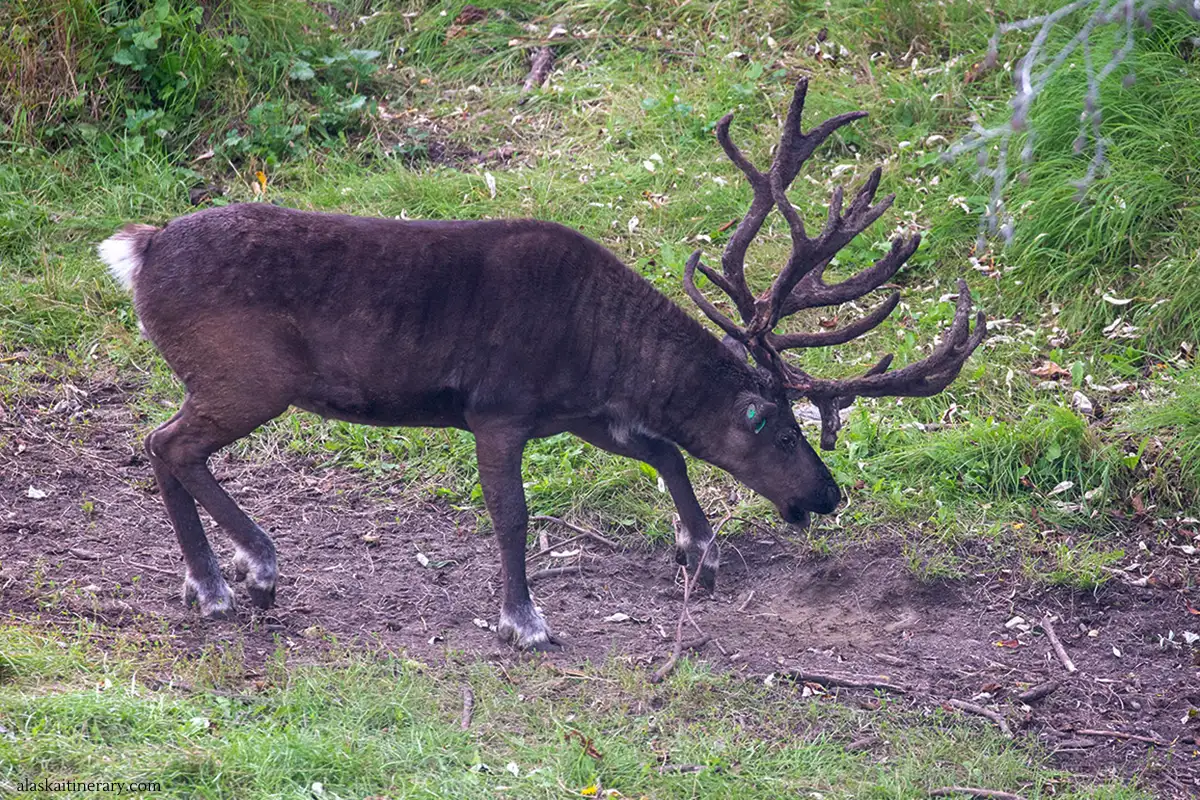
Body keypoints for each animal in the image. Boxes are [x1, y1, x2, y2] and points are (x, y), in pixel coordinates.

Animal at [98, 80, 985, 651]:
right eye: (785, 432)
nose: (830, 495)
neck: (600, 346)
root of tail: (140, 248)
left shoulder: (580, 413)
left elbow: (665, 449)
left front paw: (698, 549)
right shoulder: (499, 409)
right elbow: (513, 514)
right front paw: (523, 621)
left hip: (223, 381)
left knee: (161, 442)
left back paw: (205, 581)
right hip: (249, 377)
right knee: (170, 444)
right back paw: (247, 573)